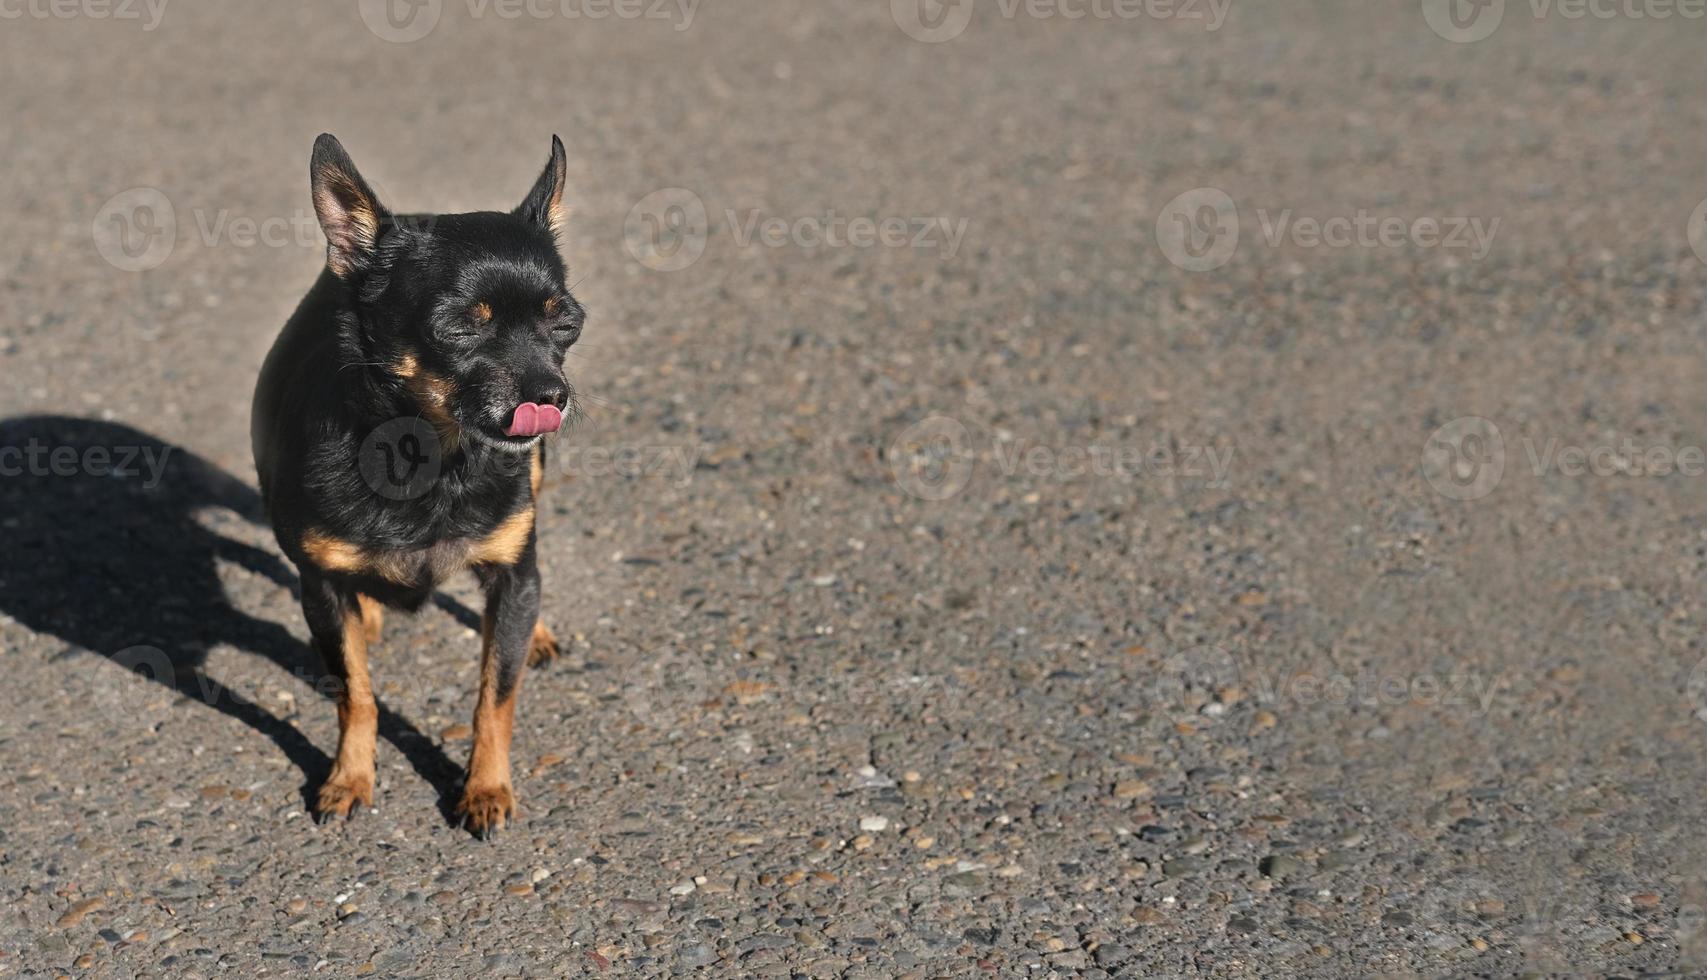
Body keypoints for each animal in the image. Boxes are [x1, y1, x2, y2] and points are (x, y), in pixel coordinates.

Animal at [250, 132, 587, 836]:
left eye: (566, 325)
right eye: (461, 327)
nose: (552, 396)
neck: (428, 457)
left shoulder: (509, 572)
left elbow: (495, 696)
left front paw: (485, 788)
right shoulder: (320, 588)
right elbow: (356, 694)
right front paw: (350, 778)